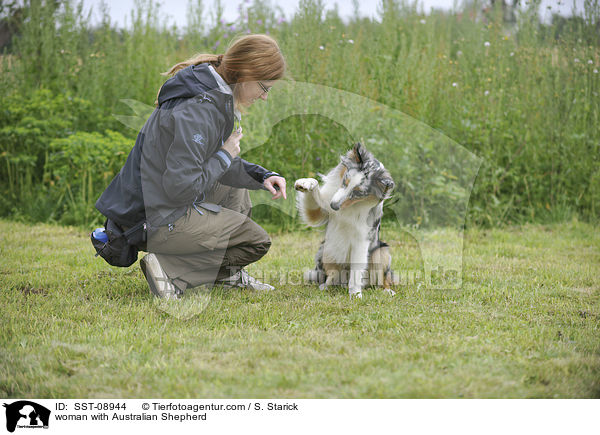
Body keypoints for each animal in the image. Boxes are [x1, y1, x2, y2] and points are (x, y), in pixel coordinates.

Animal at [294, 143, 396, 300]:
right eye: (344, 182)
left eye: (359, 193)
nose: (334, 206)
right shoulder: (321, 211)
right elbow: (315, 192)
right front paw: (306, 182)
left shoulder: (361, 240)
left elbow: (356, 272)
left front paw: (355, 295)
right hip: (325, 250)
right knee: (332, 276)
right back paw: (325, 286)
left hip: (381, 251)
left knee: (381, 279)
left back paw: (387, 290)